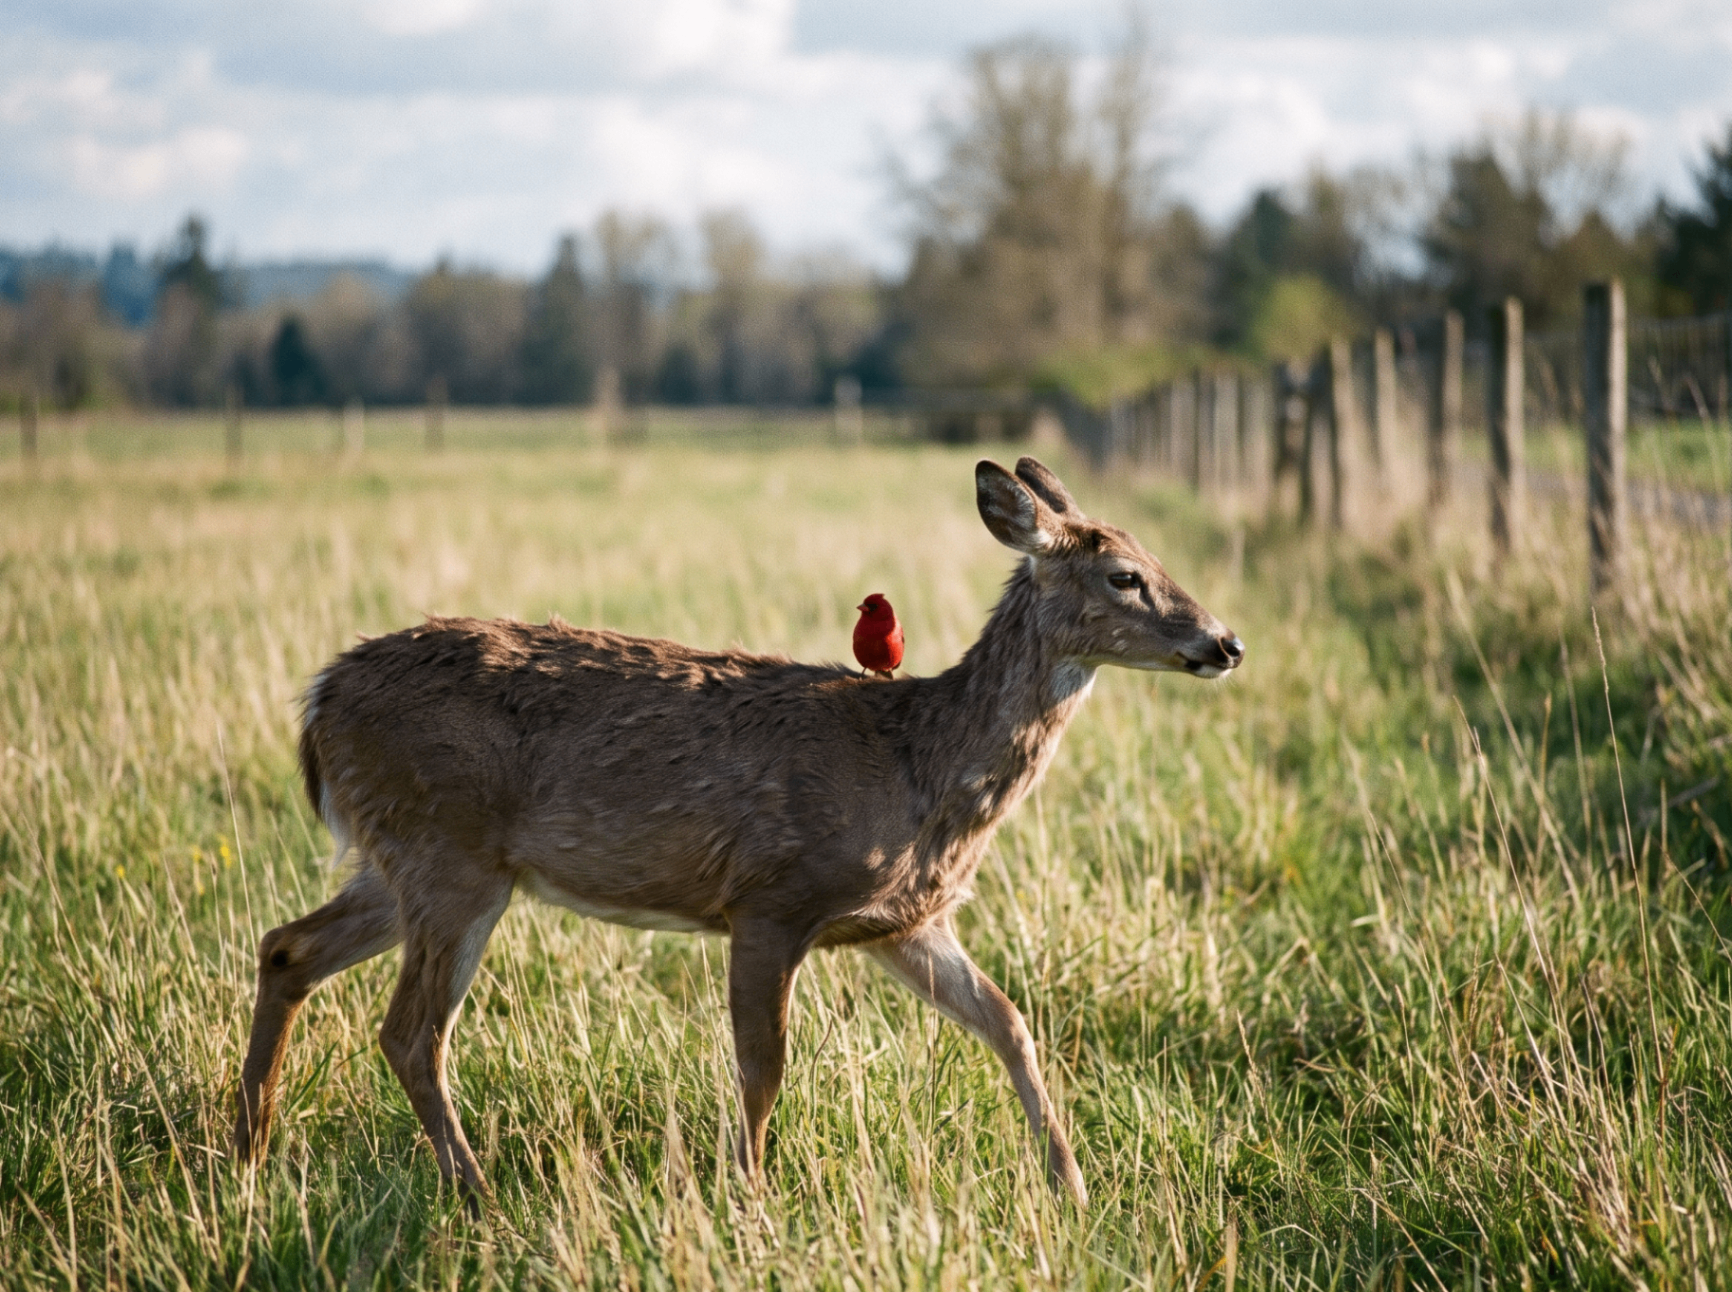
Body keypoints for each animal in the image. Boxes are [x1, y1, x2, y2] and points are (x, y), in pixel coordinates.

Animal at [231, 456, 1243, 1209]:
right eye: (1124, 576)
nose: (1226, 641)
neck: (916, 766)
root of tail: (319, 701)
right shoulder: (771, 898)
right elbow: (765, 1062)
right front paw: (751, 1196)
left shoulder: (905, 921)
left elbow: (1009, 1021)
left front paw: (1071, 1186)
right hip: (451, 853)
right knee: (409, 1031)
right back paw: (472, 1190)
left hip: (403, 857)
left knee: (287, 949)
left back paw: (248, 1152)